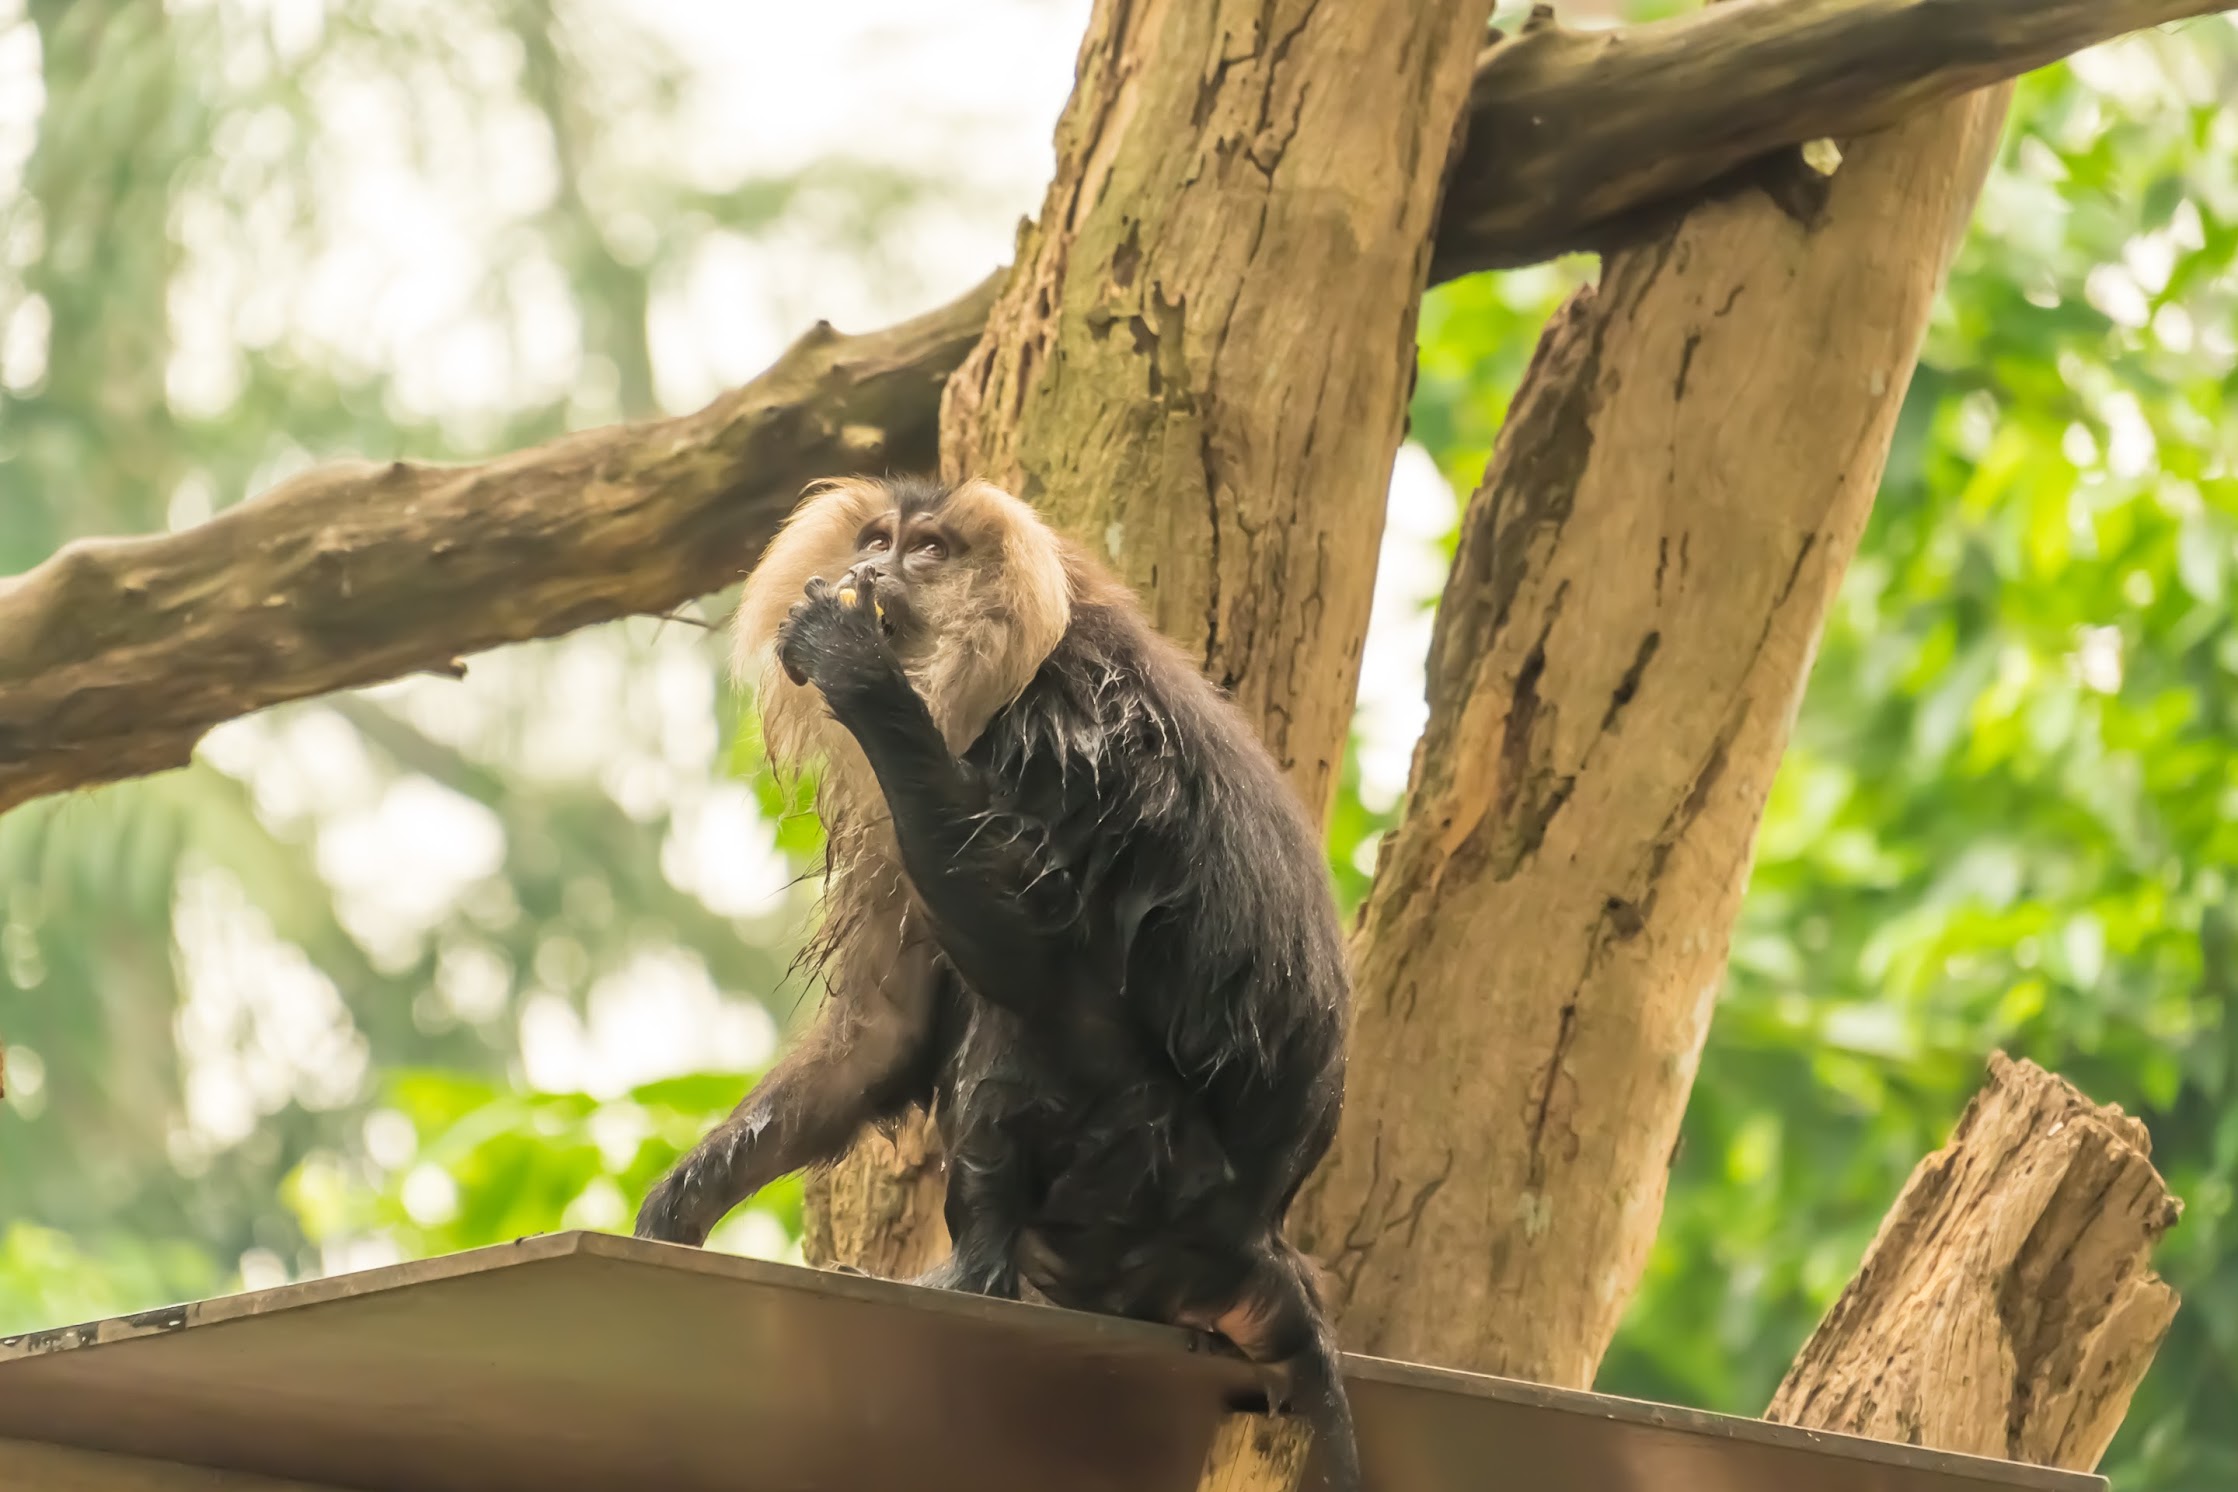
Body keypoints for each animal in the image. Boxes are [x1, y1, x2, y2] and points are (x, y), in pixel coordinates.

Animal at [635, 471, 1360, 1485]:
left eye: (928, 552)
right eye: (875, 540)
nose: (869, 571)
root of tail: (1255, 1237)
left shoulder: (1063, 738)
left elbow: (1031, 956)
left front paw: (855, 667)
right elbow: (884, 1029)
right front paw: (679, 1211)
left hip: (1146, 1179)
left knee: (1029, 1017)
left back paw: (974, 1274)